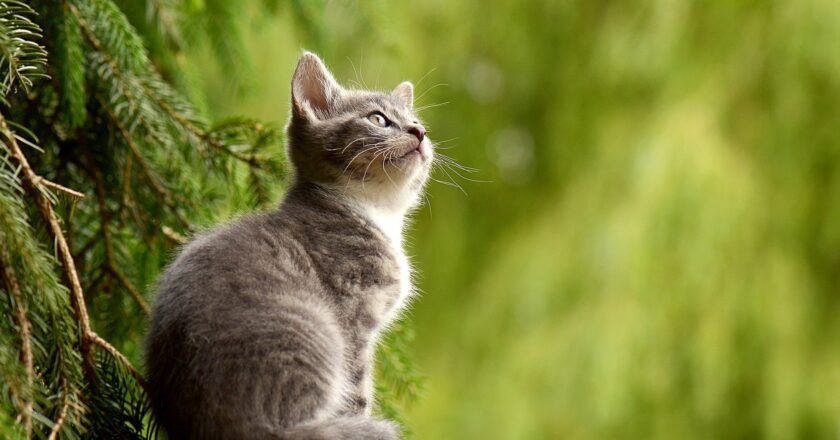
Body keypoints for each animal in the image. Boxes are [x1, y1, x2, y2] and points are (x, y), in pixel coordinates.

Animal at [145, 49, 434, 438]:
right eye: (378, 118)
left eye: (415, 120)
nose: (419, 131)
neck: (375, 212)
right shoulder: (354, 319)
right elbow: (357, 390)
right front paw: (361, 417)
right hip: (314, 332)